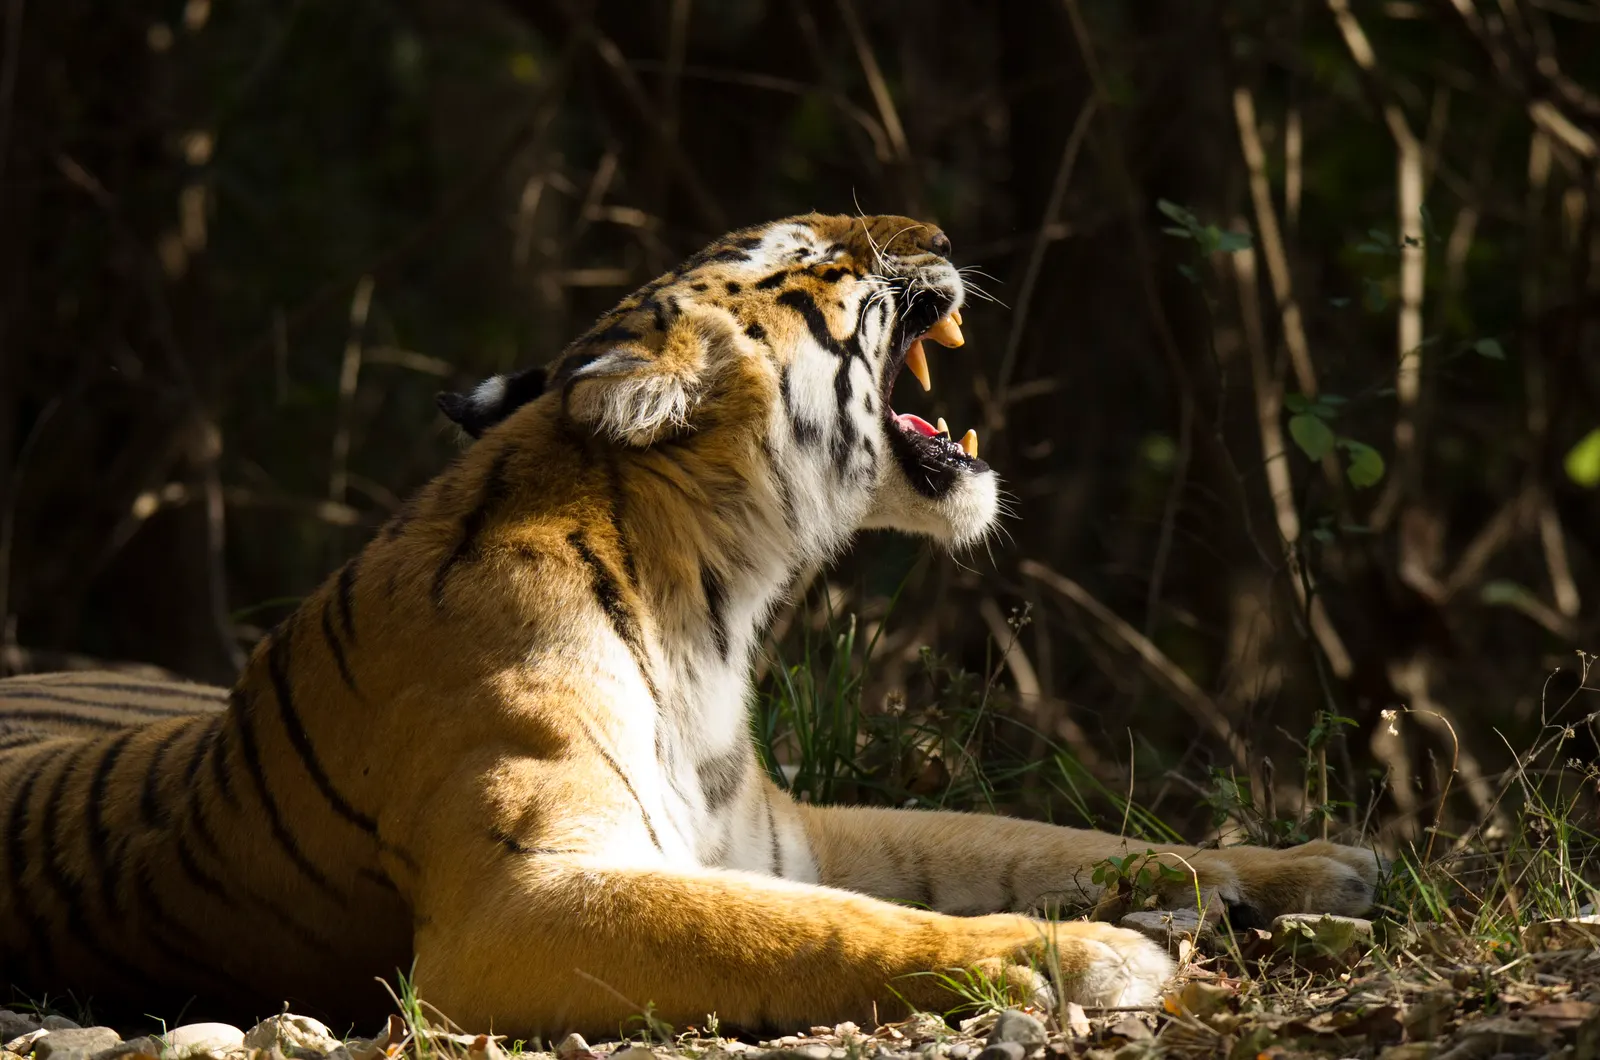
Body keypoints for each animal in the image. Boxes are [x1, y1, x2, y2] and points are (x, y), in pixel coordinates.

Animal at [0, 213, 1384, 1040]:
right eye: (820, 253)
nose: (943, 232)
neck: (713, 598)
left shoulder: (779, 830)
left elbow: (1039, 838)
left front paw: (1311, 866)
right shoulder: (520, 901)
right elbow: (829, 930)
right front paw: (1068, 958)